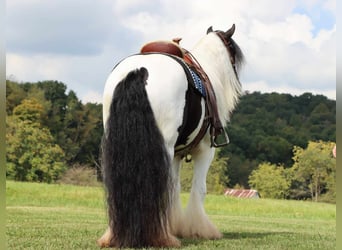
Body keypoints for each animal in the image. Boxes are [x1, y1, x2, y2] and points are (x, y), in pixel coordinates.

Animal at [97, 23, 244, 248]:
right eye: (233, 54)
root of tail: (139, 70)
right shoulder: (205, 151)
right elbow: (198, 189)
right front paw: (199, 229)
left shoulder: (176, 155)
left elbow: (174, 189)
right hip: (164, 148)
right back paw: (161, 237)